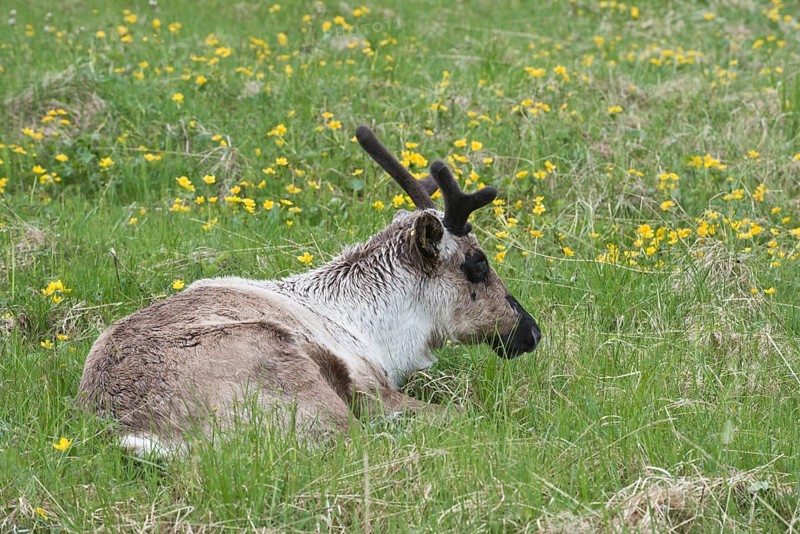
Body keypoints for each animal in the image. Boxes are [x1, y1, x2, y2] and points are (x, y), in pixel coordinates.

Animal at [77, 125, 542, 455]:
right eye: (478, 263)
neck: (375, 326)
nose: (531, 332)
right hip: (292, 372)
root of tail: (140, 434)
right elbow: (460, 414)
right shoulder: (369, 388)